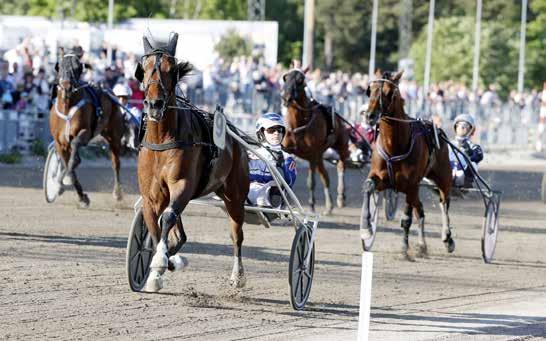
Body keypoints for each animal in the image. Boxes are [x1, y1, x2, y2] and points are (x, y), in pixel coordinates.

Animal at [49, 49, 124, 206]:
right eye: (60, 66)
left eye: (78, 67)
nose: (67, 86)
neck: (67, 107)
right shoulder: (60, 143)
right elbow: (68, 165)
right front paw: (79, 195)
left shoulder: (84, 132)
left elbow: (73, 157)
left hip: (114, 137)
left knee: (116, 163)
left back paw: (118, 193)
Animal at [134, 33, 249, 290]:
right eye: (144, 69)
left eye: (172, 69)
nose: (154, 105)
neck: (162, 139)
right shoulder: (151, 194)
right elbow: (155, 226)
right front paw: (160, 268)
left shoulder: (183, 185)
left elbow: (167, 217)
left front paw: (161, 261)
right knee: (179, 232)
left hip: (235, 196)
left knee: (236, 235)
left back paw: (237, 276)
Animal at [280, 67, 348, 214]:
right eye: (285, 77)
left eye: (300, 80)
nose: (286, 98)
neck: (299, 123)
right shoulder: (290, 150)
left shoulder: (312, 154)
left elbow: (311, 181)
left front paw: (311, 205)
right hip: (320, 156)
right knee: (325, 176)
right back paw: (329, 206)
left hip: (340, 145)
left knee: (341, 164)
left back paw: (341, 196)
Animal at [360, 71, 452, 258]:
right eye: (370, 90)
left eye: (389, 92)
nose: (369, 116)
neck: (394, 146)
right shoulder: (381, 179)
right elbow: (368, 187)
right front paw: (366, 229)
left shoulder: (410, 185)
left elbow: (406, 219)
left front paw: (404, 248)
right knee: (421, 211)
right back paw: (422, 245)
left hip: (442, 177)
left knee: (444, 202)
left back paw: (447, 238)